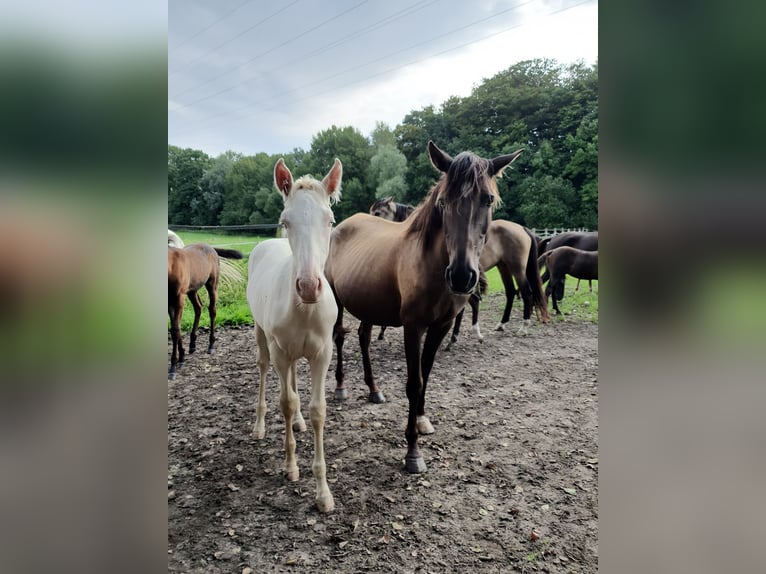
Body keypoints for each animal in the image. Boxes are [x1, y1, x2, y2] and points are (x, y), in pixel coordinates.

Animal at [168, 245, 243, 380]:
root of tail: (211, 247)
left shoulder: (179, 298)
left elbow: (175, 329)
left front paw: (173, 367)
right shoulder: (169, 300)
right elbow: (175, 328)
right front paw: (182, 357)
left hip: (212, 284)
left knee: (212, 310)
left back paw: (211, 345)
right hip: (192, 289)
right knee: (198, 307)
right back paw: (192, 344)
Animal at [248, 156, 344, 512]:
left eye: (329, 220)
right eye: (285, 221)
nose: (308, 286)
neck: (303, 310)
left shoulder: (322, 353)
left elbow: (317, 409)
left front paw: (323, 493)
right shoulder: (280, 350)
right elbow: (286, 402)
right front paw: (290, 467)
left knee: (291, 379)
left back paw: (300, 422)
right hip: (264, 337)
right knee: (266, 370)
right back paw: (259, 426)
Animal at [324, 142, 520, 474]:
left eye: (488, 199)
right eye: (443, 201)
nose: (462, 276)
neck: (429, 263)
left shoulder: (441, 326)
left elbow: (426, 373)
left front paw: (421, 419)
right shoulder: (413, 327)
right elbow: (414, 382)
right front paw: (413, 451)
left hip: (368, 304)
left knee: (364, 337)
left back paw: (374, 389)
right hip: (337, 300)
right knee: (339, 336)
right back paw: (340, 387)